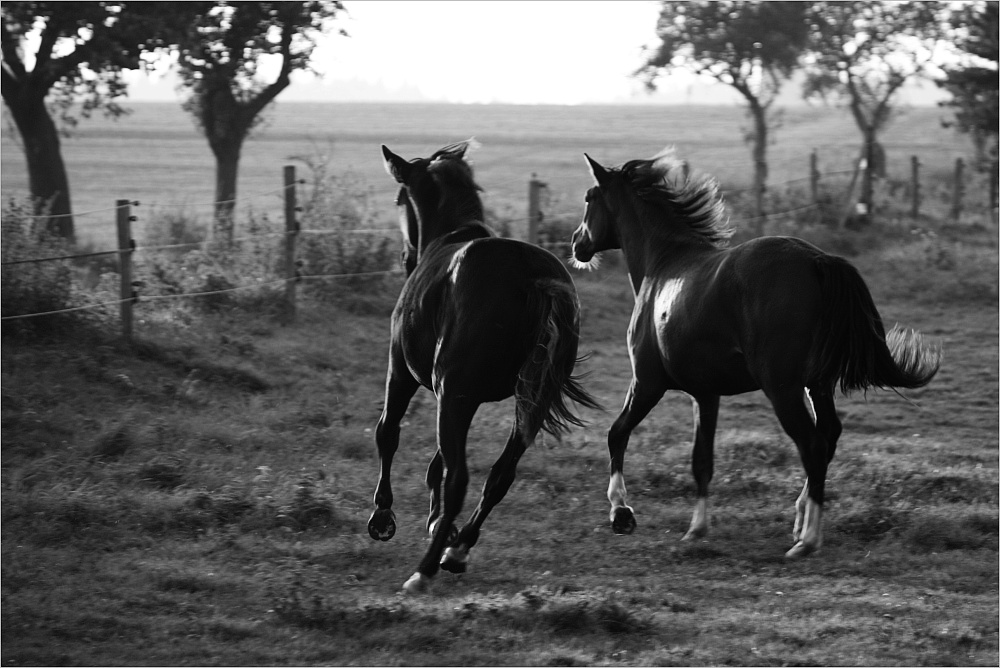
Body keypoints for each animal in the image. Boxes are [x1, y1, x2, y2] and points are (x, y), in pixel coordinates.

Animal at [372, 142, 596, 596]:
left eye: (400, 199)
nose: (405, 258)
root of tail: (534, 277)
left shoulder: (405, 373)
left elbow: (389, 434)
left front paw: (383, 517)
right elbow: (438, 463)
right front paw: (441, 526)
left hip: (456, 394)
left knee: (460, 479)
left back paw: (425, 569)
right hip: (529, 402)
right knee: (500, 475)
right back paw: (456, 550)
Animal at [572, 151, 936, 560]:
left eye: (589, 198)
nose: (576, 244)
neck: (663, 266)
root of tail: (818, 261)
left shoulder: (647, 383)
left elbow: (617, 434)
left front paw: (622, 513)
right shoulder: (705, 395)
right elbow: (702, 460)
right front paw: (697, 529)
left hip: (782, 388)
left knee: (812, 444)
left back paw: (807, 540)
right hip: (817, 384)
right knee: (828, 436)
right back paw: (801, 520)